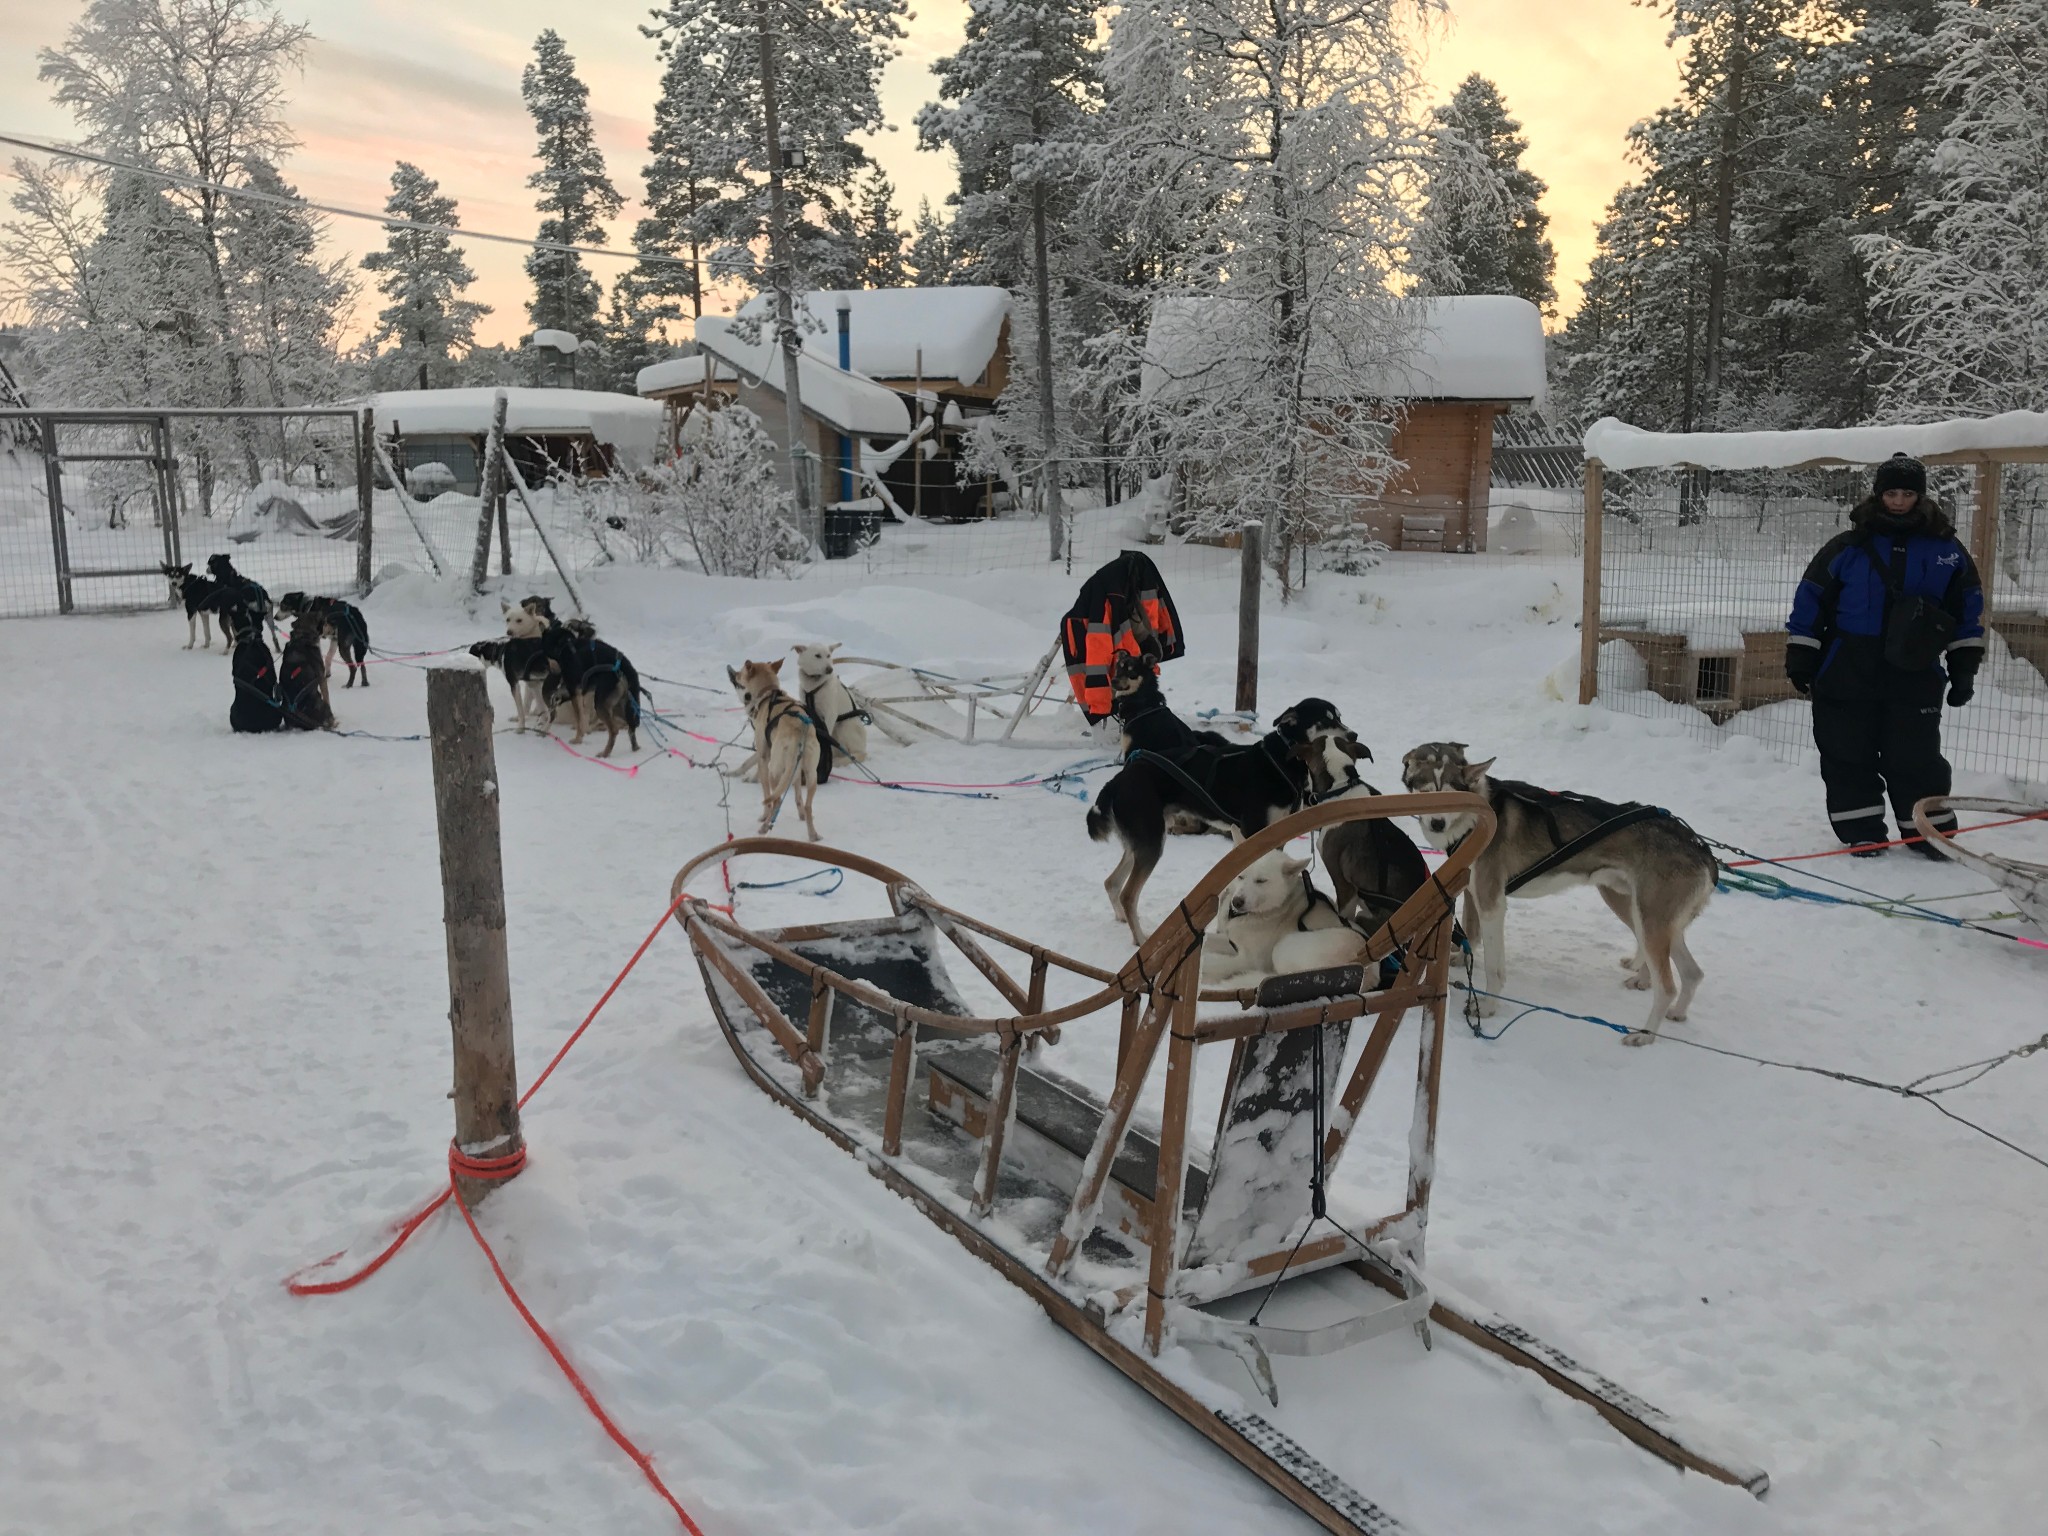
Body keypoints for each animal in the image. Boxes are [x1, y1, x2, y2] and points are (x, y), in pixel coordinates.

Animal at [729, 655, 823, 835]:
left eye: (741, 674)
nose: (734, 673)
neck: (769, 694)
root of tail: (800, 734)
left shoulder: (763, 755)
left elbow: (765, 791)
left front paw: (763, 815)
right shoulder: (795, 772)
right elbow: (798, 797)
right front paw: (800, 814)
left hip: (775, 770)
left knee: (776, 800)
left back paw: (765, 825)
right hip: (810, 775)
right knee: (808, 805)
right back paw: (813, 835)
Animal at [1400, 745, 1720, 1048]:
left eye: (1451, 793)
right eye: (1426, 793)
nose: (1437, 823)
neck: (1477, 814)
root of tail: (1700, 848)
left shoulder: (1492, 904)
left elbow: (1494, 968)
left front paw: (1488, 1008)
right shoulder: (1473, 892)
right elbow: (1471, 934)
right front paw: (1460, 957)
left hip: (1648, 920)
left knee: (1667, 986)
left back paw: (1644, 1035)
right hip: (1642, 914)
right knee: (1692, 973)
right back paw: (1673, 1009)